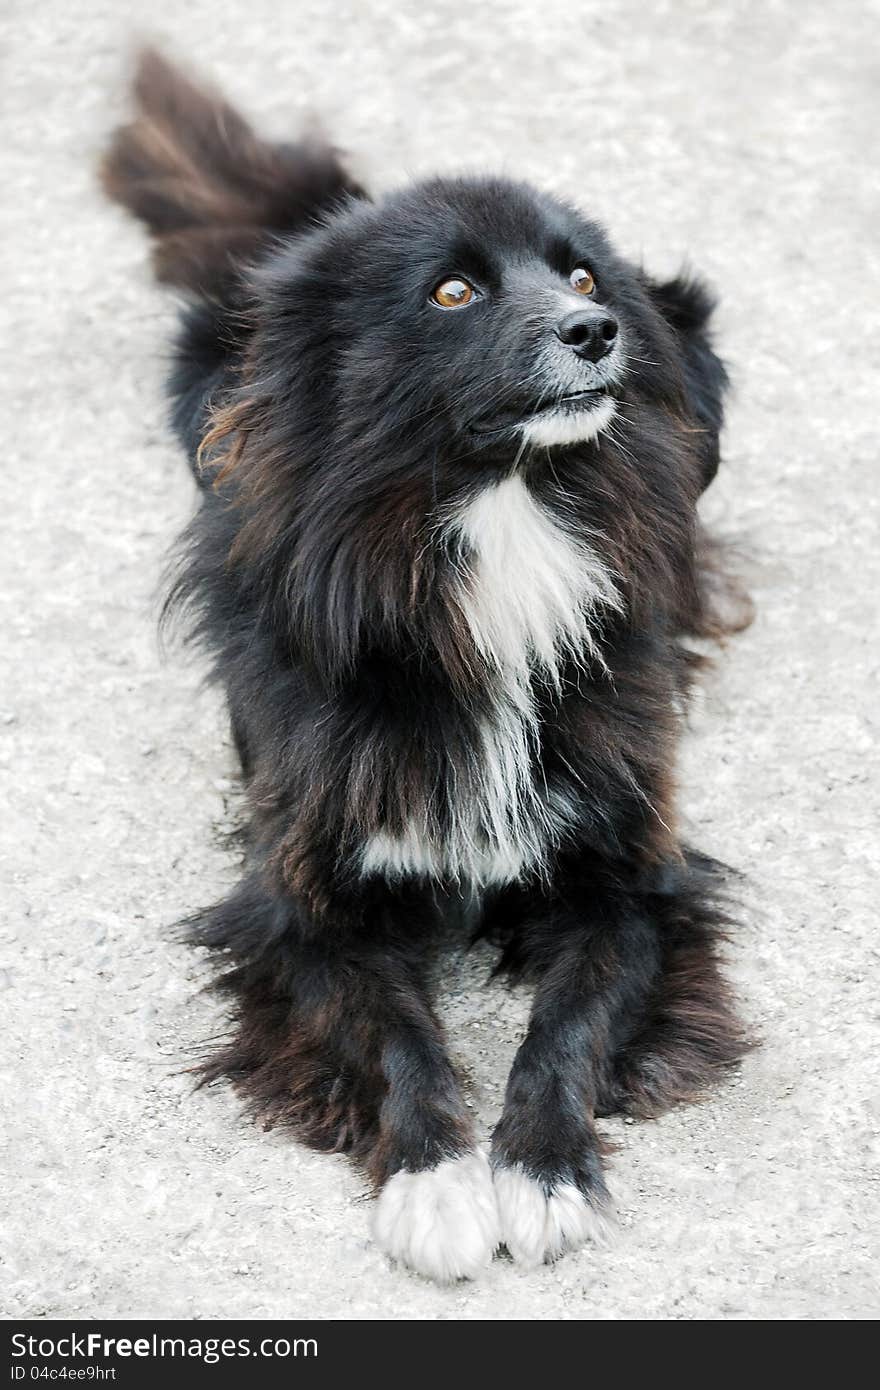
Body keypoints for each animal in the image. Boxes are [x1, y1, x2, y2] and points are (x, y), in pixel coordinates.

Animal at [101, 46, 750, 1278]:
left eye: (581, 274)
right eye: (453, 294)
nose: (598, 331)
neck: (500, 514)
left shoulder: (627, 872)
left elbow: (571, 1020)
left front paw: (542, 1172)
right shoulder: (303, 899)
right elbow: (390, 1026)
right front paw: (435, 1180)